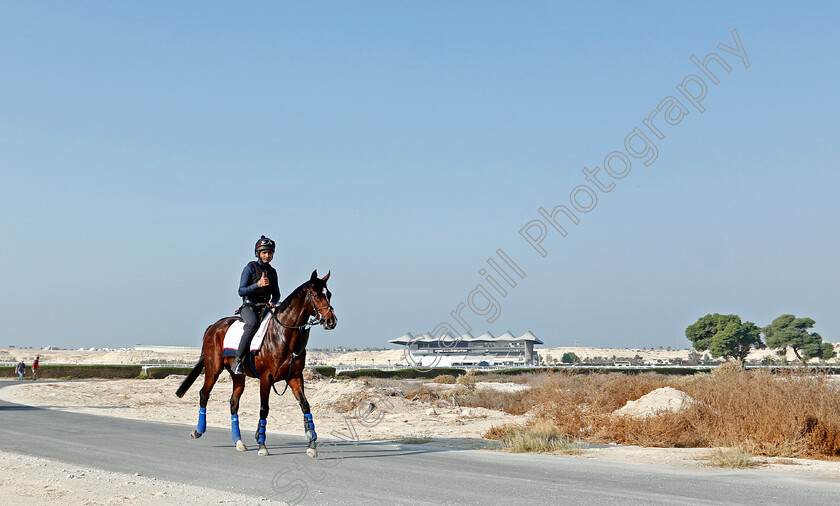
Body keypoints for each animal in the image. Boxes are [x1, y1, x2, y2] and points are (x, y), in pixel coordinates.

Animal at [176, 270, 336, 456]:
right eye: (316, 295)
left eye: (329, 294)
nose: (331, 321)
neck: (283, 335)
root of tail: (213, 326)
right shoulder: (266, 378)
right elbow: (264, 409)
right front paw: (262, 445)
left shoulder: (295, 377)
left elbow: (305, 406)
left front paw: (311, 444)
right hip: (213, 369)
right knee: (204, 394)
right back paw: (198, 431)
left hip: (238, 375)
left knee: (233, 402)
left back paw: (238, 441)